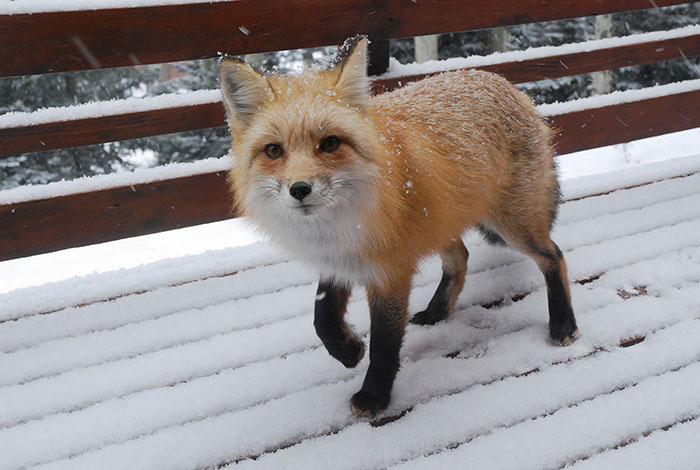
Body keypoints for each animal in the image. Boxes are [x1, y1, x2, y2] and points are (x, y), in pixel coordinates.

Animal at [219, 36, 579, 418]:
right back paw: (437, 311)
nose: (300, 190)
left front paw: (374, 396)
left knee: (553, 256)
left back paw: (563, 323)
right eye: (274, 150)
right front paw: (348, 351)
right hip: (441, 221)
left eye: (330, 143)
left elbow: (385, 341)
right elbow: (322, 317)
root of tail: (502, 82)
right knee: (460, 259)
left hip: (511, 225)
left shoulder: (390, 270)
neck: (338, 225)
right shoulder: (341, 258)